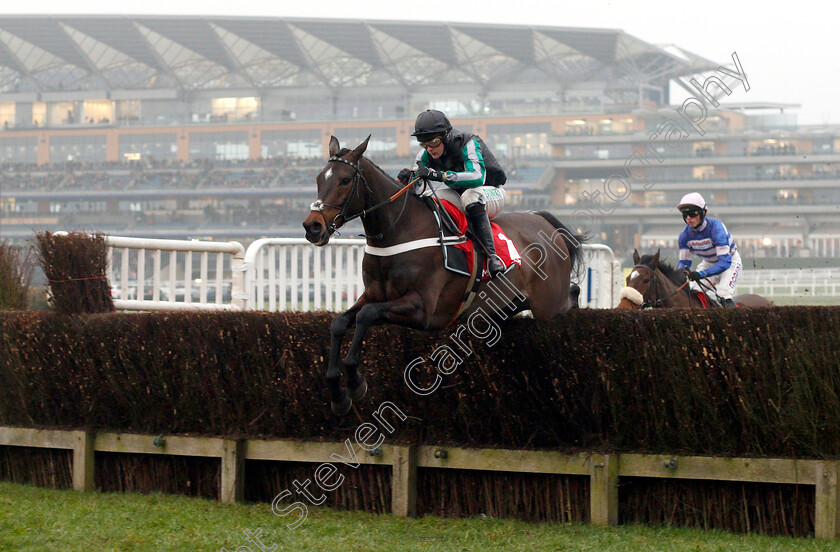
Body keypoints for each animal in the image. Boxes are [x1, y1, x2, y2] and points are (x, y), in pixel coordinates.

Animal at [302, 137, 584, 414]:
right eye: (318, 178)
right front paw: (337, 393)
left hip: (547, 305)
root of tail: (546, 223)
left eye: (345, 180)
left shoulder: (424, 309)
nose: (312, 226)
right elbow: (340, 322)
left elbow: (366, 315)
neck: (399, 231)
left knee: (570, 294)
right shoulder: (374, 295)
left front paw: (355, 382)